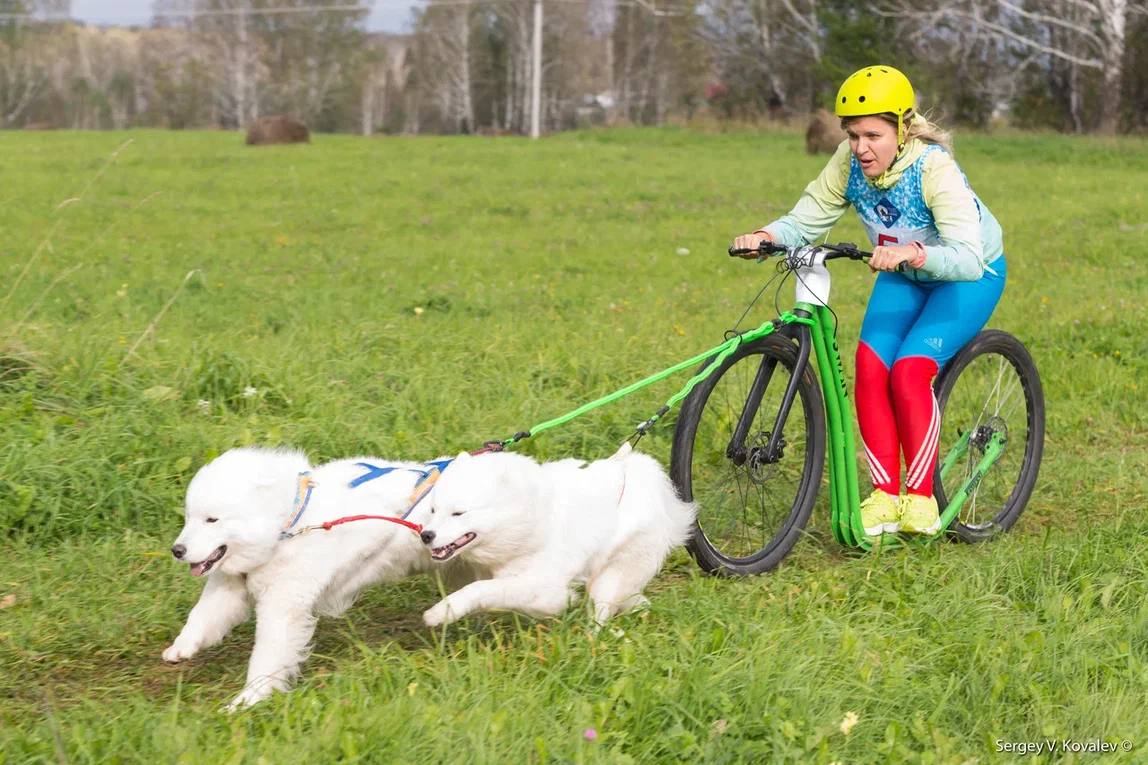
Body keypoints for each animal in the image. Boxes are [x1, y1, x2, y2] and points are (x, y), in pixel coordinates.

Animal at [163, 443, 475, 707]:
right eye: (189, 517)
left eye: (212, 520)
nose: (176, 550)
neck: (288, 525)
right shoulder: (231, 585)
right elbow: (202, 615)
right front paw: (180, 648)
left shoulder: (283, 605)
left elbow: (266, 656)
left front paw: (247, 701)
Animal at [420, 447, 693, 624]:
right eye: (433, 510)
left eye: (458, 513)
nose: (426, 535)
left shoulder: (542, 585)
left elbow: (481, 590)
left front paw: (441, 612)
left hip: (614, 571)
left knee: (603, 606)